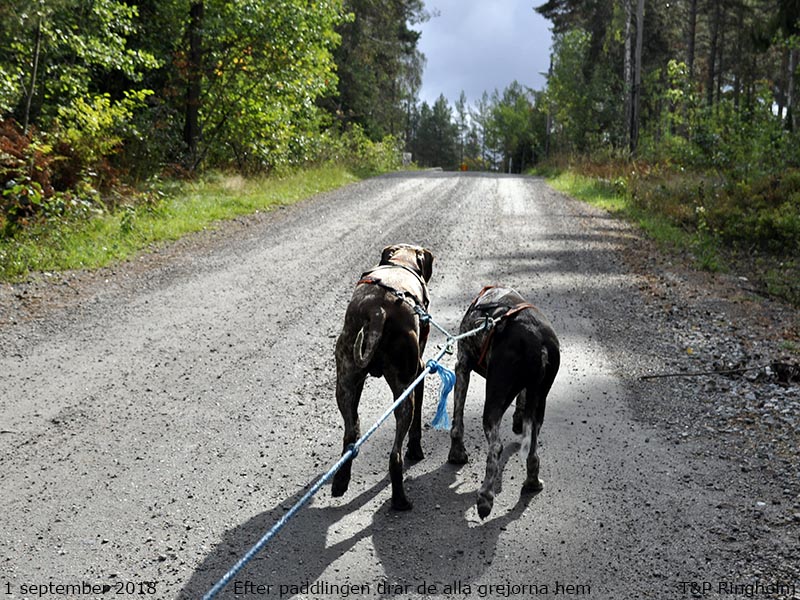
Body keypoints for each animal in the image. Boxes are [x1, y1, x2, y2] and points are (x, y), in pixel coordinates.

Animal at [331, 244, 434, 511]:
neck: (401, 263)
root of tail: (377, 312)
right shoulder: (419, 371)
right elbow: (417, 424)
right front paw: (416, 450)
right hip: (404, 389)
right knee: (395, 455)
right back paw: (400, 499)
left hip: (345, 381)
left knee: (351, 434)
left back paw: (340, 481)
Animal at [448, 285, 560, 519]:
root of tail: (538, 344)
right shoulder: (529, 390)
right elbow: (522, 402)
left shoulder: (462, 366)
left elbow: (457, 422)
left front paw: (456, 453)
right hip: (540, 400)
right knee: (532, 450)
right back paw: (532, 482)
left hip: (494, 399)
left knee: (496, 448)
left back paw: (485, 498)